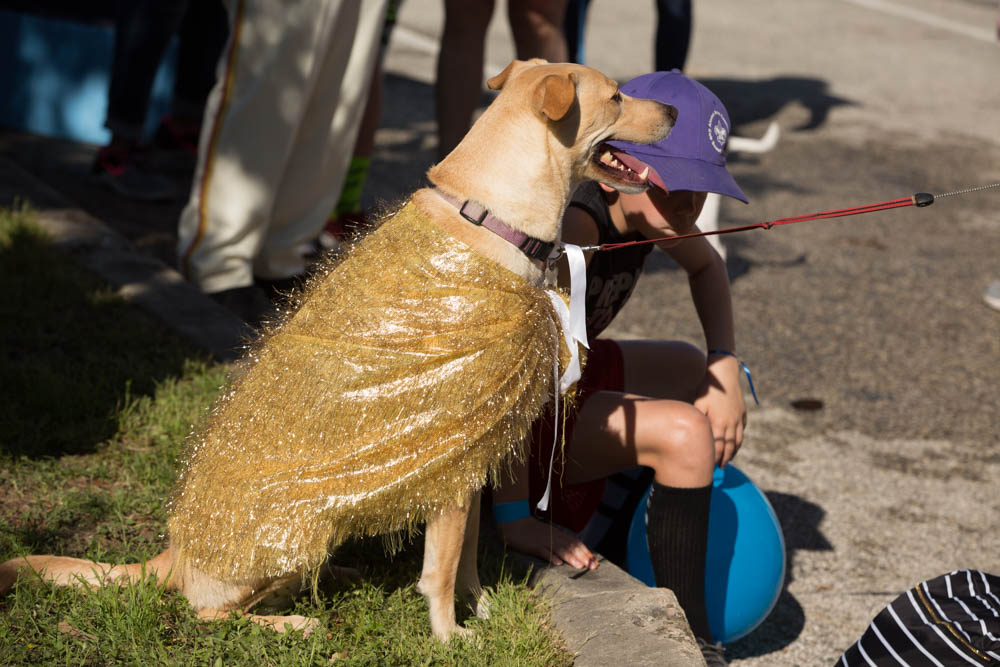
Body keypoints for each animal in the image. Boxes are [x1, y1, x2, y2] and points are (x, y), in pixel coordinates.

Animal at [0, 61, 676, 640]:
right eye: (617, 95)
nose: (672, 106)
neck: (488, 215)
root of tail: (174, 553)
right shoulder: (455, 461)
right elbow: (441, 568)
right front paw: (450, 638)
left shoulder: (468, 457)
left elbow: (467, 562)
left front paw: (482, 612)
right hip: (285, 537)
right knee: (209, 613)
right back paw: (291, 623)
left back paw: (337, 576)